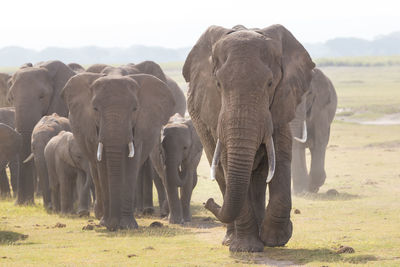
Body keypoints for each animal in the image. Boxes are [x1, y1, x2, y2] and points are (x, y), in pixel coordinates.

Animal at [61, 73, 174, 230]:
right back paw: (100, 216)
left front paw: (128, 226)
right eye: (95, 109)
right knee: (95, 172)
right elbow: (103, 166)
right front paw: (107, 224)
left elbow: (132, 164)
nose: (113, 226)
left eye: (135, 109)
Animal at [184, 24, 316, 252]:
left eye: (270, 83)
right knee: (223, 176)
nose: (208, 202)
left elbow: (281, 158)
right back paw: (231, 239)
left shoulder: (280, 105)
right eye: (218, 84)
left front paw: (275, 240)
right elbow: (228, 164)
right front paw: (245, 248)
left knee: (259, 177)